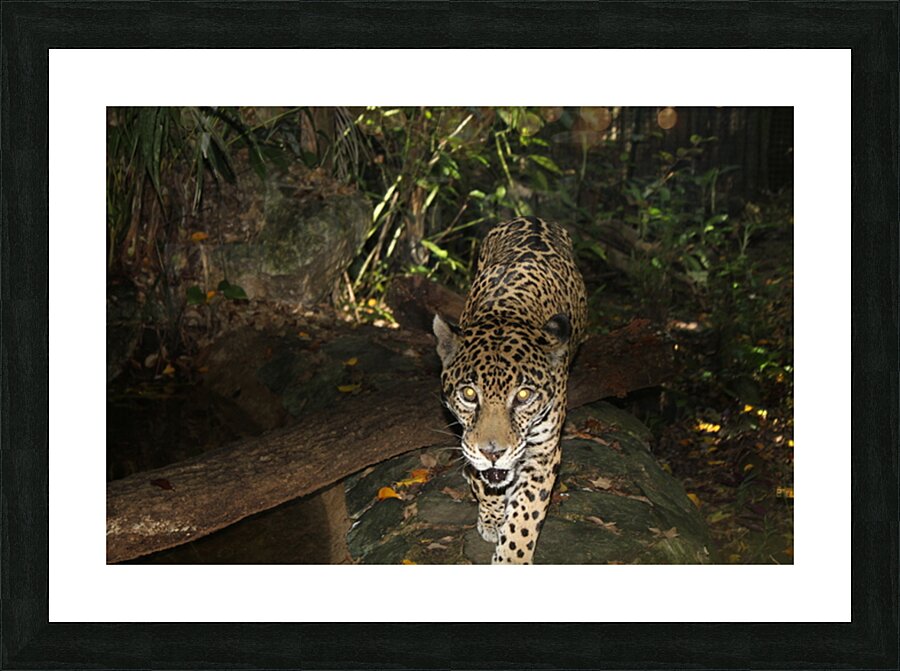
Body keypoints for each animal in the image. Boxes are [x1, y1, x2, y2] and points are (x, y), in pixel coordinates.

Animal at [433, 216, 587, 564]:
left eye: (523, 396)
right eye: (469, 394)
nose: (493, 453)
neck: (508, 312)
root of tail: (531, 218)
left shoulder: (544, 451)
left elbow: (526, 514)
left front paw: (512, 557)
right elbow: (485, 479)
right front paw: (491, 515)